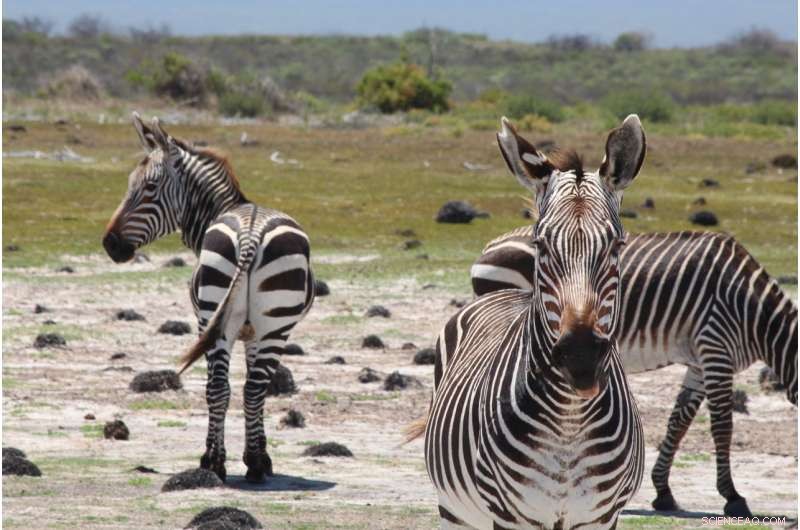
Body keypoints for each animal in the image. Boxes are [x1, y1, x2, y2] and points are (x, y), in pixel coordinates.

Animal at [102, 113, 315, 483]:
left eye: (149, 188)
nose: (109, 244)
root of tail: (250, 235)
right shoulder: (248, 332)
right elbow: (247, 388)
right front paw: (259, 454)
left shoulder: (228, 326)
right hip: (262, 325)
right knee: (245, 389)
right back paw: (241, 464)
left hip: (227, 318)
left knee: (224, 387)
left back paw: (218, 462)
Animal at [409, 115, 647, 529]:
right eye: (540, 244)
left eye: (617, 245)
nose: (581, 358)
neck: (570, 421)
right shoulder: (510, 514)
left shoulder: (602, 517)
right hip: (455, 510)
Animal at [471, 226, 798, 518]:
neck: (753, 311)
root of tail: (490, 246)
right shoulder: (715, 347)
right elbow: (722, 426)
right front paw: (732, 496)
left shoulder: (698, 362)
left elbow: (679, 421)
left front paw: (663, 492)